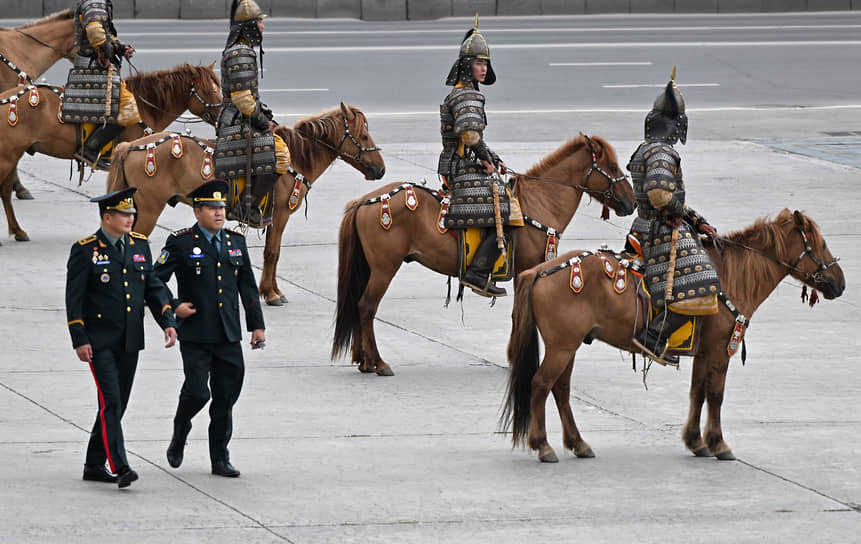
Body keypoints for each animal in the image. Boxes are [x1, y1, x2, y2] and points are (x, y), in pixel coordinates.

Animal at [0, 62, 222, 241]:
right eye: (208, 90)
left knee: (5, 190)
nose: (221, 114)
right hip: (8, 155)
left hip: (14, 154)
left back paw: (18, 231)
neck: (144, 106)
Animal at [107, 103, 386, 306]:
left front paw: (272, 290)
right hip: (149, 210)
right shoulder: (280, 215)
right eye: (363, 135)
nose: (381, 169)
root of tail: (130, 146)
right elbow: (272, 252)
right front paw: (271, 294)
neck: (297, 157)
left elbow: (273, 252)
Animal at [332, 134, 636, 376]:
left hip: (370, 268)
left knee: (359, 305)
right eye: (612, 167)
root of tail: (364, 201)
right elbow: (519, 315)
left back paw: (364, 361)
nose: (631, 202)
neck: (540, 203)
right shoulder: (527, 269)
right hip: (384, 268)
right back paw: (378, 362)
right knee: (367, 306)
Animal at [500, 208, 844, 464]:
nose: (839, 283)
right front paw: (719, 444)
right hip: (562, 346)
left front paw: (696, 441)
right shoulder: (719, 350)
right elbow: (715, 395)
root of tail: (540, 270)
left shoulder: (704, 353)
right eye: (821, 244)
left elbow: (697, 393)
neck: (732, 276)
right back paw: (543, 445)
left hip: (568, 346)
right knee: (540, 385)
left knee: (560, 389)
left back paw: (578, 443)